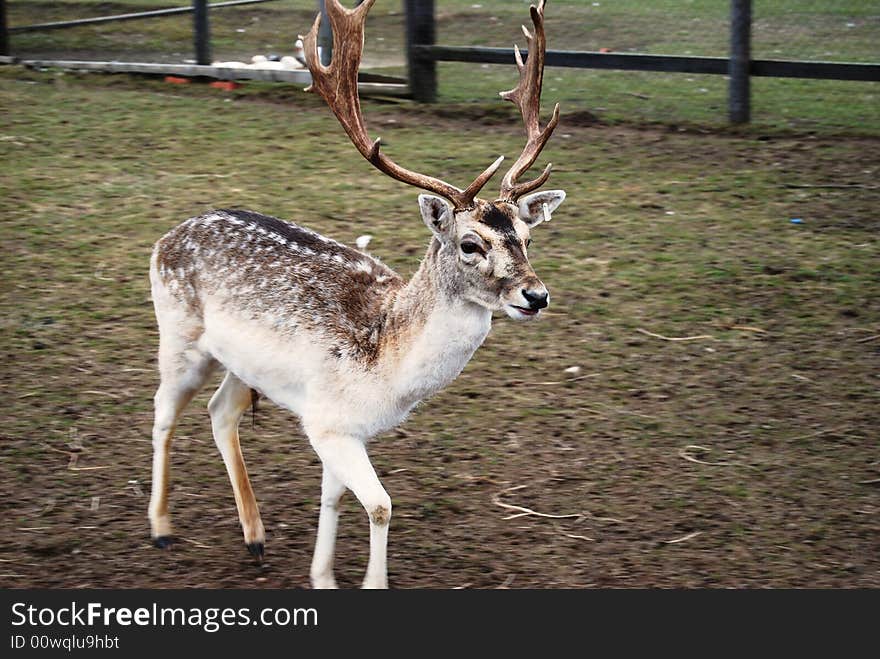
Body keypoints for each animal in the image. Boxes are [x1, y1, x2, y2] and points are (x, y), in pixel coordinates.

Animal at [146, 0, 564, 588]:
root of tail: (168, 235)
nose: (536, 295)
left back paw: (255, 537)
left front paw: (321, 576)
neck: (386, 368)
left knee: (220, 411)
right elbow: (381, 505)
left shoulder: (343, 428)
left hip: (241, 365)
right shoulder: (326, 421)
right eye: (469, 244)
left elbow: (335, 498)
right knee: (163, 410)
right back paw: (161, 527)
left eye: (527, 238)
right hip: (179, 334)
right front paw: (369, 581)